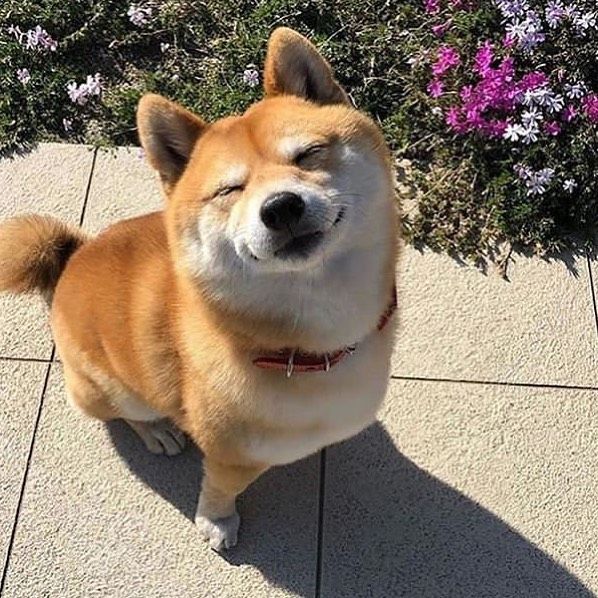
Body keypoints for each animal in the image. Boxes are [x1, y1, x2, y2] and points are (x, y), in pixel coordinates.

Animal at [1, 28, 404, 552]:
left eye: (308, 154)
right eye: (230, 190)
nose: (281, 207)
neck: (309, 347)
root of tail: (71, 261)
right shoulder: (231, 454)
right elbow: (219, 488)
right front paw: (216, 521)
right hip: (105, 390)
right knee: (127, 412)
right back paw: (156, 431)